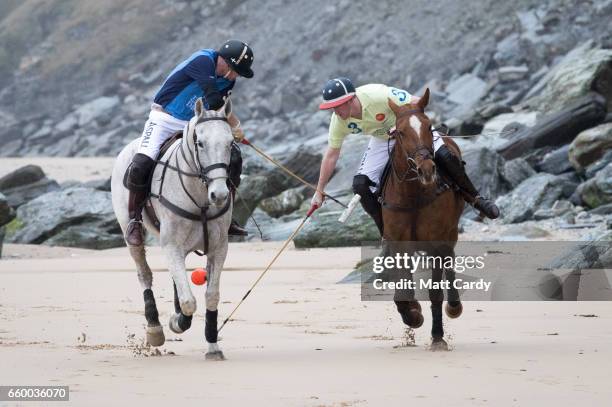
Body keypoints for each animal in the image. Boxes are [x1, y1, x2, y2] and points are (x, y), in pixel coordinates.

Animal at [111, 98, 233, 360]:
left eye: (231, 143)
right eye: (200, 142)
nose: (219, 195)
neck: (200, 200)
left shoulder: (219, 247)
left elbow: (211, 296)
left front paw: (213, 346)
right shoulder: (172, 245)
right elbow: (189, 301)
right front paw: (179, 322)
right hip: (131, 230)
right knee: (144, 274)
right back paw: (155, 329)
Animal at [382, 88, 464, 350]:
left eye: (428, 127)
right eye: (400, 132)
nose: (427, 169)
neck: (413, 195)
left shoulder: (436, 241)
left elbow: (435, 291)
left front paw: (437, 336)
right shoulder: (398, 243)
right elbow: (402, 290)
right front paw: (413, 314)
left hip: (450, 231)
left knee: (450, 258)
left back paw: (454, 306)